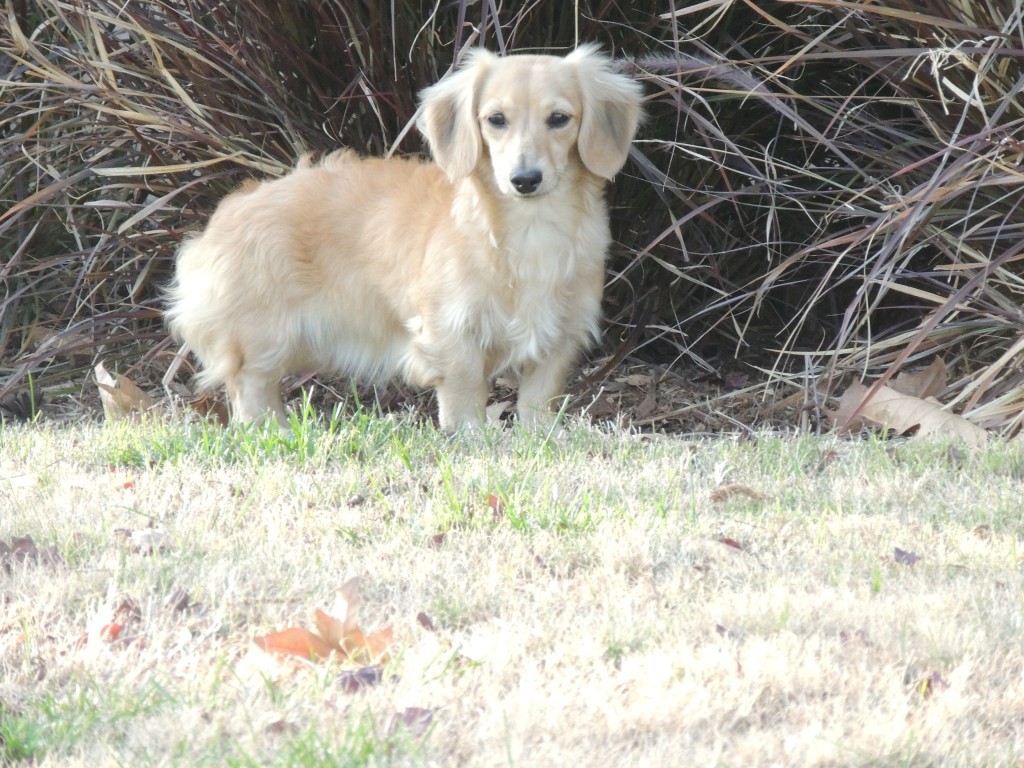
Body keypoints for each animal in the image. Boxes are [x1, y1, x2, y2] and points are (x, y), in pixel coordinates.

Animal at [165, 46, 638, 434]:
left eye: (559, 119)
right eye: (496, 120)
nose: (524, 179)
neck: (529, 229)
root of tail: (224, 216)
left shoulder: (561, 337)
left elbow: (537, 400)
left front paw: (538, 438)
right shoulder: (452, 332)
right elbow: (465, 393)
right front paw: (472, 439)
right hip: (264, 336)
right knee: (250, 387)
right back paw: (272, 433)